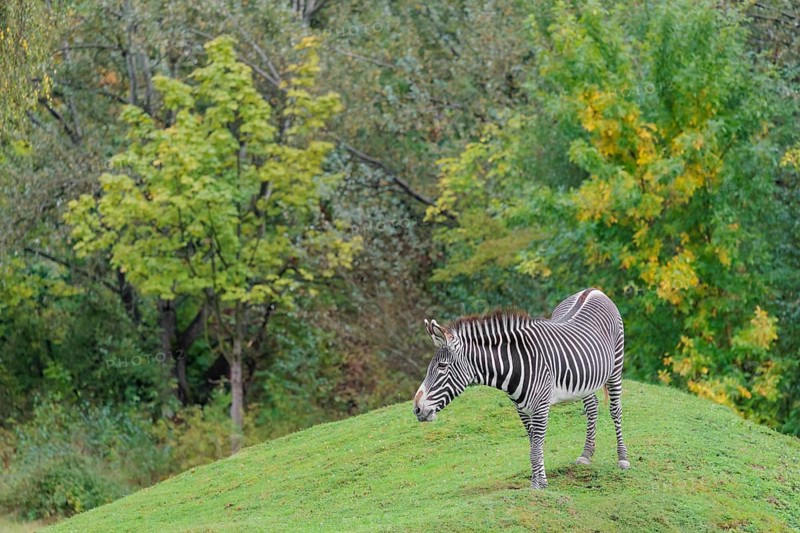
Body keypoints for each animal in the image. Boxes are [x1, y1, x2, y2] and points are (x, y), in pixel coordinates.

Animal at [412, 288, 629, 489]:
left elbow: (535, 450)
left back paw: (623, 458)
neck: (517, 364)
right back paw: (586, 454)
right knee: (592, 407)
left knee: (615, 410)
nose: (416, 409)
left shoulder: (540, 407)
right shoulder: (522, 409)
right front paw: (540, 482)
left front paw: (537, 488)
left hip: (616, 367)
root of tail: (593, 291)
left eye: (442, 366)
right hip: (586, 380)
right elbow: (533, 446)